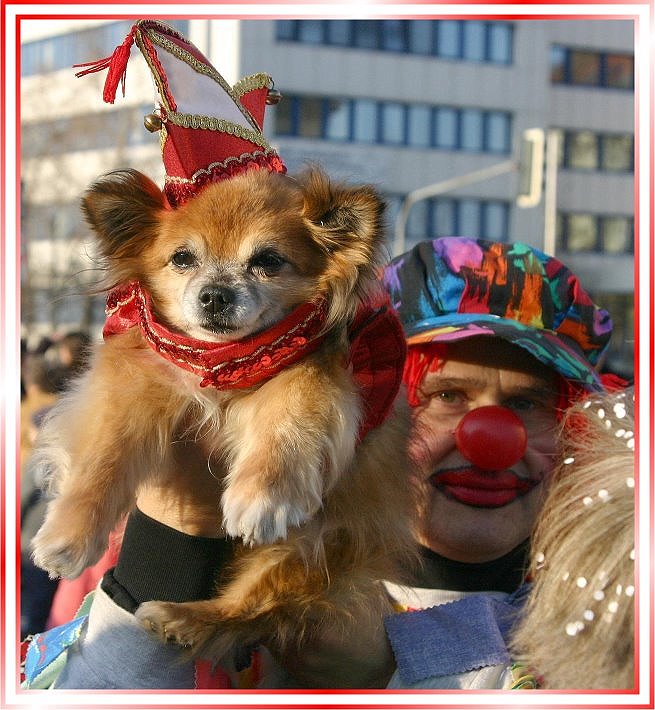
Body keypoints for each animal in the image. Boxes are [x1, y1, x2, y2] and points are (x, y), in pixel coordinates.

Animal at [29, 165, 416, 672]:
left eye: (268, 260)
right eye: (182, 258)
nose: (215, 295)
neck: (224, 363)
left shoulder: (316, 376)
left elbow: (291, 418)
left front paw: (264, 493)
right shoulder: (132, 388)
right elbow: (103, 460)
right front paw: (68, 535)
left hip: (312, 546)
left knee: (254, 608)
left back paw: (184, 618)